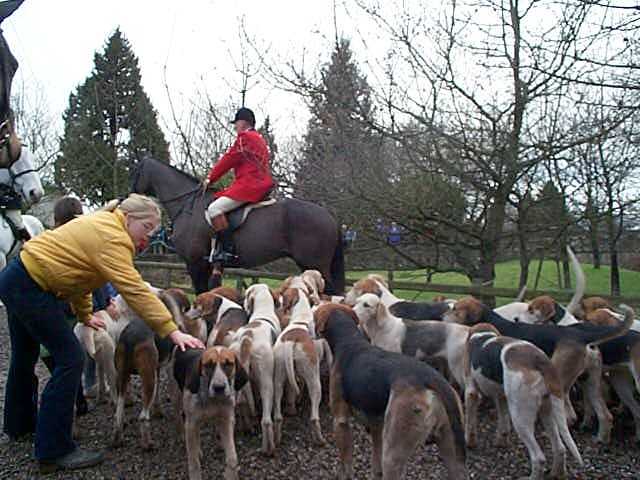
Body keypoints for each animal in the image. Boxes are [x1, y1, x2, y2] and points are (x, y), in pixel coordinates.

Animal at [129, 156, 344, 294]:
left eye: (136, 171)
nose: (129, 198)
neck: (189, 205)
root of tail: (330, 216)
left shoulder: (195, 263)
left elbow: (201, 293)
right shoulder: (210, 265)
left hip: (316, 265)